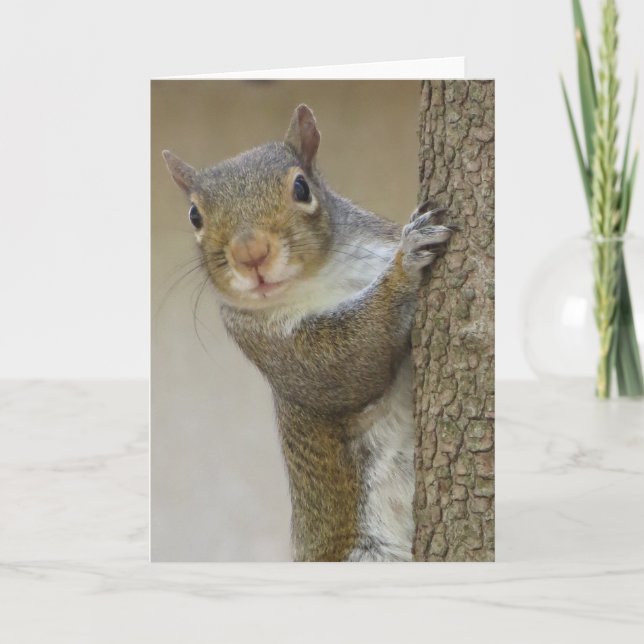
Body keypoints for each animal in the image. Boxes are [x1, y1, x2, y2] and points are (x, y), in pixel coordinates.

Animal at [162, 104, 452, 562]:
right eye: (194, 216)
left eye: (301, 187)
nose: (250, 253)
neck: (324, 274)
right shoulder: (276, 348)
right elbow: (344, 366)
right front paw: (405, 264)